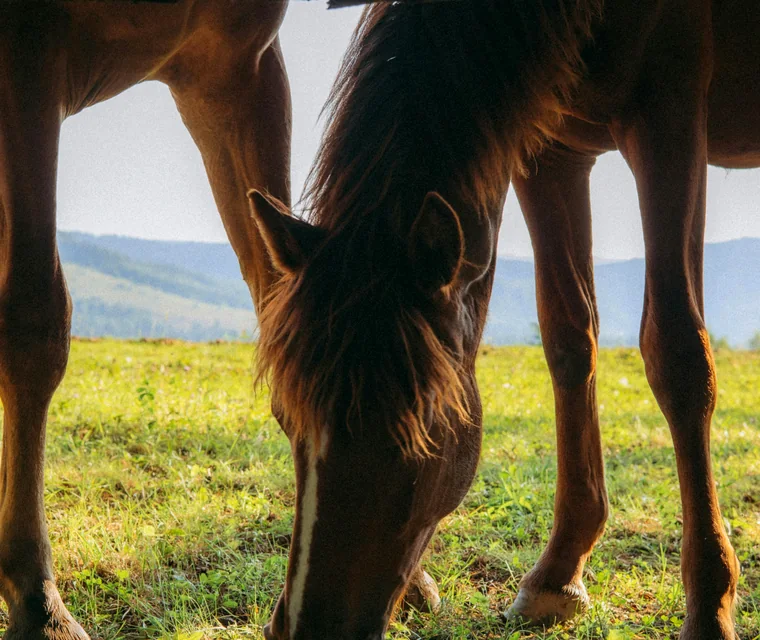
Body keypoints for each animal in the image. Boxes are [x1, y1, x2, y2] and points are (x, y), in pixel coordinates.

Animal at [250, 1, 758, 638]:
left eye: (424, 424)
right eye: (287, 416)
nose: (308, 626)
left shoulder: (670, 120)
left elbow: (678, 354)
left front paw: (710, 604)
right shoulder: (550, 150)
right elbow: (569, 338)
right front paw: (557, 576)